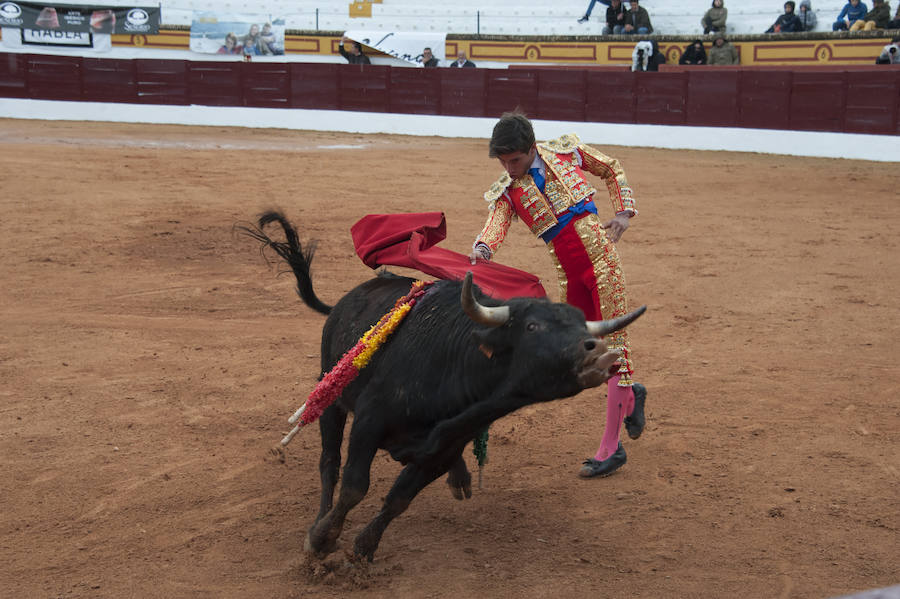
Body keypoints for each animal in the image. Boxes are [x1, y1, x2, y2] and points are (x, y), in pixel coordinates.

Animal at [243, 212, 644, 564]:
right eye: (532, 327)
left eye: (580, 326)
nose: (600, 352)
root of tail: (345, 301)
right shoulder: (369, 422)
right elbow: (355, 485)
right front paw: (322, 539)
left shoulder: (443, 449)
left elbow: (399, 499)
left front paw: (363, 550)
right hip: (331, 396)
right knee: (329, 462)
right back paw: (319, 521)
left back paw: (461, 477)